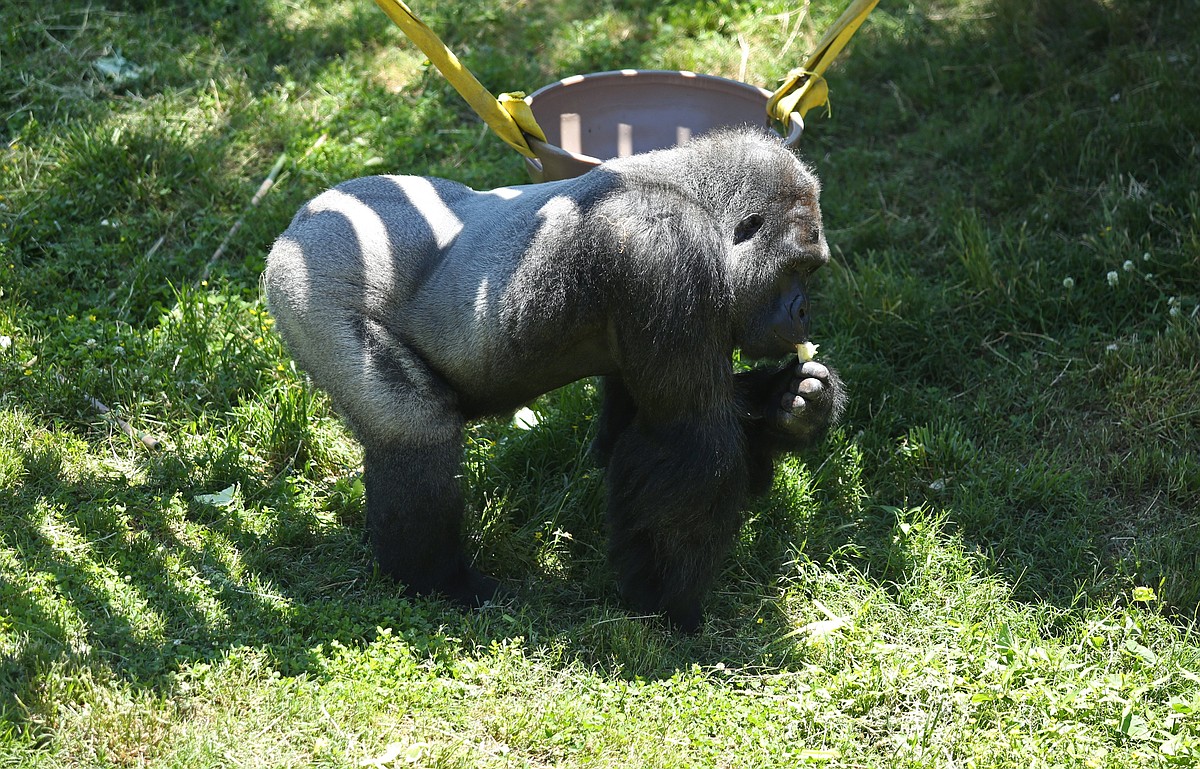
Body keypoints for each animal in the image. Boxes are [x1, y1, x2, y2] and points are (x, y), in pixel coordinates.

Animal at [263, 128, 846, 632]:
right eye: (797, 269)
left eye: (812, 272)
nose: (803, 312)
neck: (696, 200)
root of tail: (301, 220)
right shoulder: (665, 251)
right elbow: (692, 439)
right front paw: (666, 605)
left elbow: (636, 430)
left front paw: (796, 405)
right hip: (310, 281)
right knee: (412, 426)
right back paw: (436, 580)